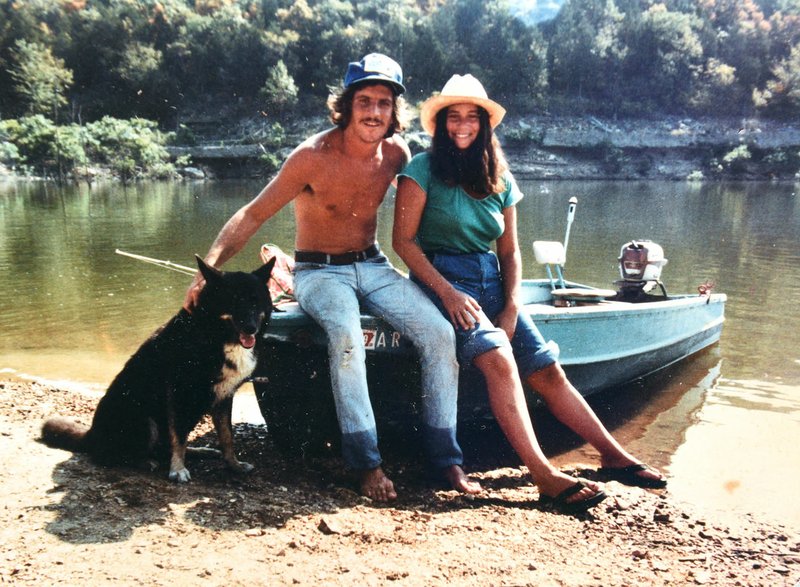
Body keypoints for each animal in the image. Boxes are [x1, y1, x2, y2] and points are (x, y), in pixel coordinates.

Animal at [42, 258, 276, 482]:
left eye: (255, 300)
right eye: (234, 300)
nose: (251, 329)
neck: (216, 334)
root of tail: (92, 435)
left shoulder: (224, 397)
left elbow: (227, 437)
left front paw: (234, 465)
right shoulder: (179, 396)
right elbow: (179, 437)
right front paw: (178, 470)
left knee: (163, 447)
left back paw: (199, 451)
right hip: (145, 420)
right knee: (110, 456)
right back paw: (143, 461)